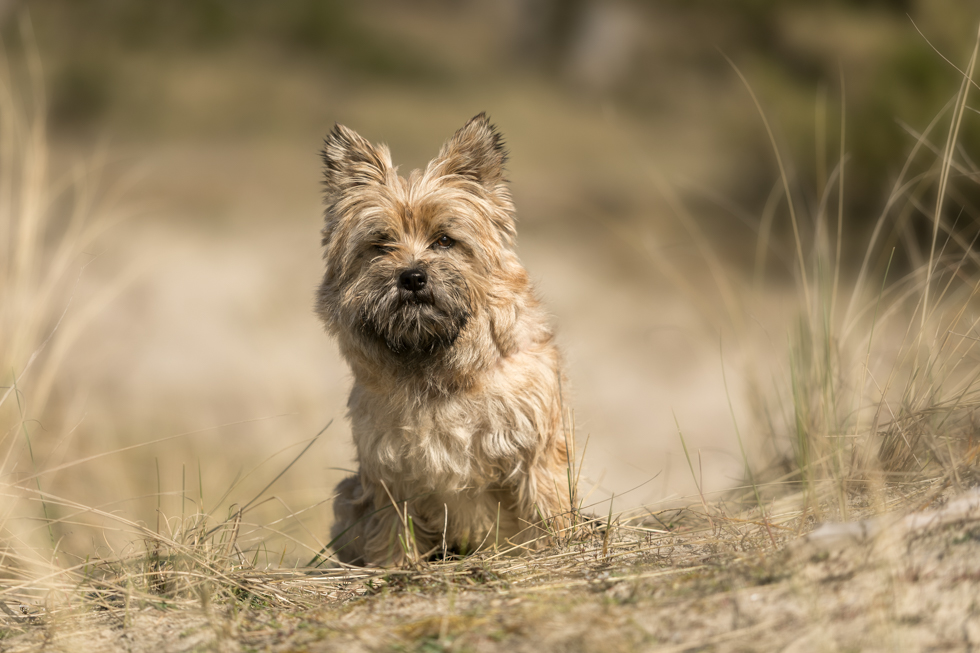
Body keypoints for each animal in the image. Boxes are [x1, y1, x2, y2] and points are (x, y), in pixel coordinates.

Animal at [318, 112, 572, 564]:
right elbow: (393, 529)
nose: (412, 277)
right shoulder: (389, 473)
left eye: (445, 240)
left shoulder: (535, 453)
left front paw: (553, 551)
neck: (438, 370)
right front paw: (397, 567)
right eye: (380, 245)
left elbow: (545, 507)